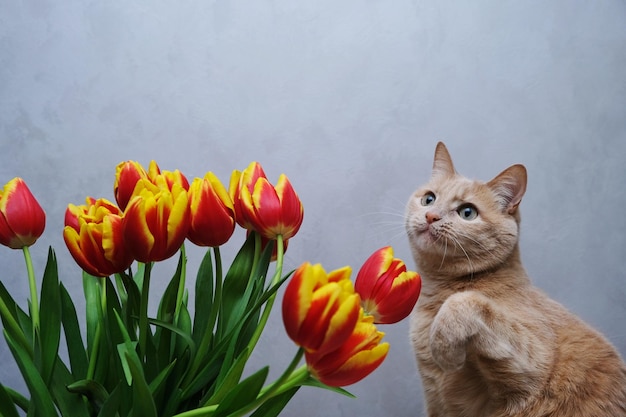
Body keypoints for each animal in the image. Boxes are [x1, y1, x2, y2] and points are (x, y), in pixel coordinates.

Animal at [404, 143, 624, 416]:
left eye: (467, 212)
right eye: (429, 199)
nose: (431, 216)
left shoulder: (535, 362)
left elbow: (465, 301)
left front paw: (446, 351)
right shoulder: (438, 406)